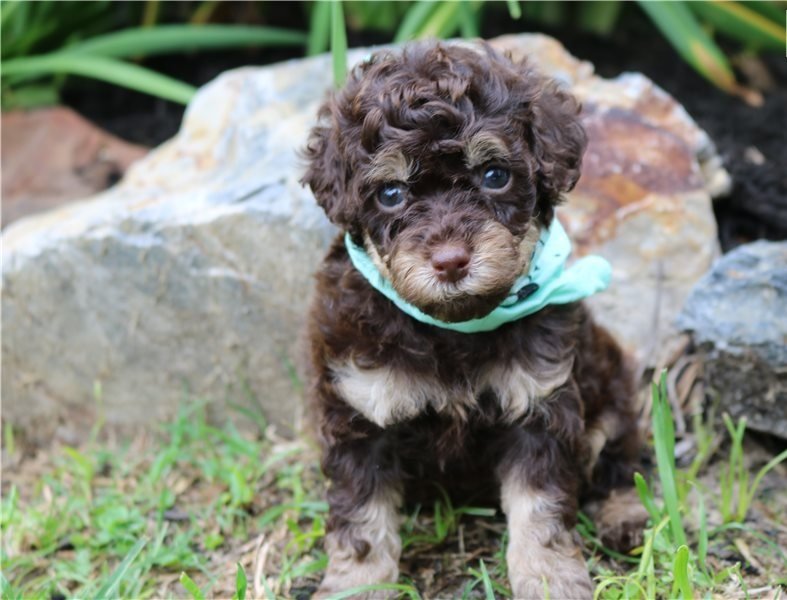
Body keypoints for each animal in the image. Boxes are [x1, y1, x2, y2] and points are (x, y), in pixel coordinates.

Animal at [301, 41, 647, 599]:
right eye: (391, 193)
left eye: (494, 175)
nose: (450, 261)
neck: (451, 330)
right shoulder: (360, 409)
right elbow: (362, 519)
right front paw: (358, 585)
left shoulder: (540, 403)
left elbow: (540, 510)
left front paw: (549, 578)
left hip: (612, 385)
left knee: (617, 458)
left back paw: (626, 517)